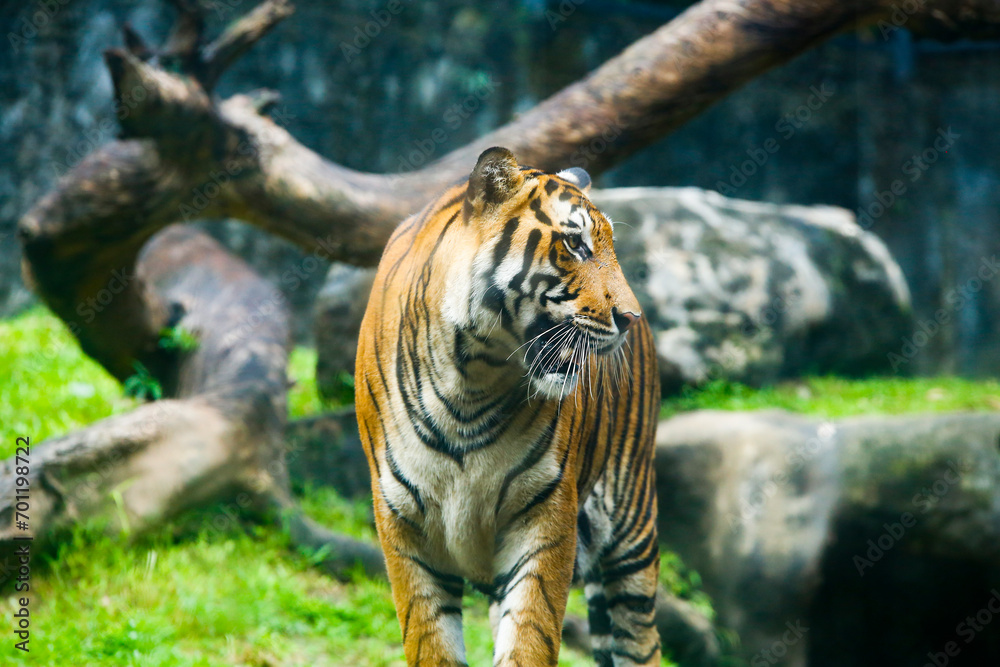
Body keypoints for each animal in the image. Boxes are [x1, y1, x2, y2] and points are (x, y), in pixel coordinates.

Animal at [355, 147, 661, 667]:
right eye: (575, 244)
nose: (630, 318)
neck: (469, 380)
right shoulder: (403, 523)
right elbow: (430, 641)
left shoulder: (544, 514)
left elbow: (530, 637)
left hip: (632, 527)